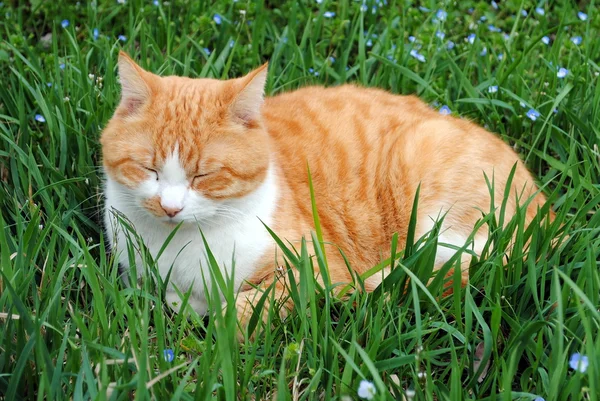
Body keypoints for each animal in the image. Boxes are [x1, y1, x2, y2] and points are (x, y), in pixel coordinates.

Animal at [101, 51, 552, 330]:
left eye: (204, 176)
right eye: (149, 169)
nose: (170, 208)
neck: (180, 249)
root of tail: (549, 218)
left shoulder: (312, 270)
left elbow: (246, 310)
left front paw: (222, 320)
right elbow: (174, 298)